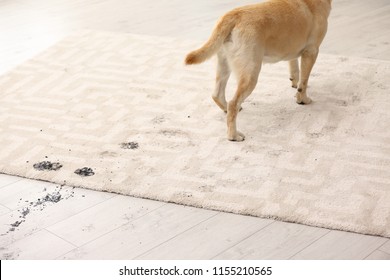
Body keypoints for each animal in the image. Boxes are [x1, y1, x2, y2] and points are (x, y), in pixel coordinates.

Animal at [186, 0, 332, 140]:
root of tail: (232, 15)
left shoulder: (294, 51)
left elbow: (295, 69)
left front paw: (295, 84)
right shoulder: (311, 52)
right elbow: (304, 82)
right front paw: (303, 99)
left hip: (224, 65)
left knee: (217, 94)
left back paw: (225, 109)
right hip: (251, 73)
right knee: (233, 104)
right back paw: (233, 135)